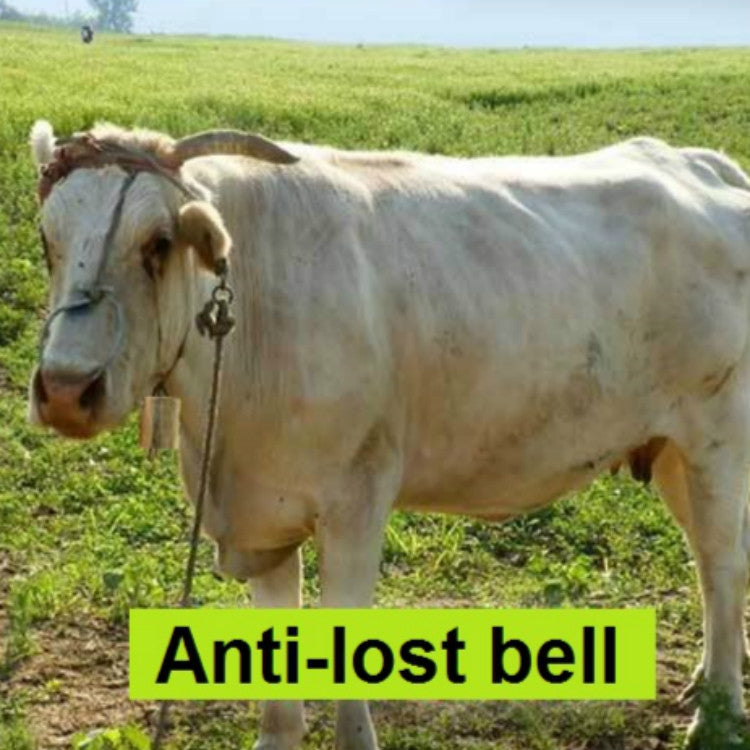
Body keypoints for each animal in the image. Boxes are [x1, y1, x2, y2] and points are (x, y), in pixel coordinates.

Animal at [28, 118, 750, 749]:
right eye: (46, 242)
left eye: (156, 243)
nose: (64, 389)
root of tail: (703, 163)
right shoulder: (262, 517)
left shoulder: (356, 499)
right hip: (671, 452)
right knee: (706, 559)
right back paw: (700, 684)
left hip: (718, 438)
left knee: (723, 563)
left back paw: (717, 708)